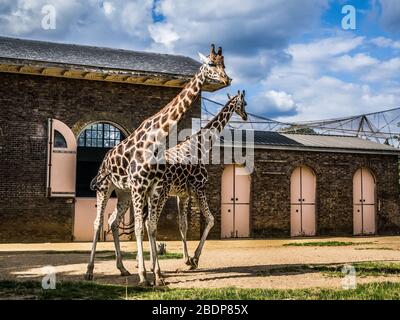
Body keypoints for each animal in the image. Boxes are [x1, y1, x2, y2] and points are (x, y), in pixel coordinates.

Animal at [85, 43, 230, 284]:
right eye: (211, 64)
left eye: (224, 64)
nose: (227, 79)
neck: (157, 136)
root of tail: (105, 158)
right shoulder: (142, 187)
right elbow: (140, 228)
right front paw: (145, 276)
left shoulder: (153, 188)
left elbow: (151, 227)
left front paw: (158, 275)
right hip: (106, 188)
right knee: (98, 222)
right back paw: (89, 271)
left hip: (123, 192)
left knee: (114, 221)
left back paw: (123, 268)